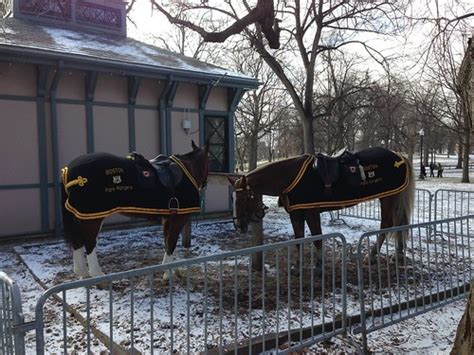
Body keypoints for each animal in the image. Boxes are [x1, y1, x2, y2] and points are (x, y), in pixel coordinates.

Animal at [60, 141, 208, 278]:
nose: (204, 185)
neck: (187, 169)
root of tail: (67, 170)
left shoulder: (168, 218)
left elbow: (167, 241)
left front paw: (169, 269)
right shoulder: (179, 218)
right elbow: (171, 243)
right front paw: (168, 273)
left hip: (83, 216)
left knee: (77, 240)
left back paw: (82, 272)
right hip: (93, 217)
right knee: (89, 242)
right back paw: (97, 274)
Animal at [230, 147, 414, 262]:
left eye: (243, 198)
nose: (238, 225)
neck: (291, 177)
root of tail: (399, 157)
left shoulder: (311, 212)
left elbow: (317, 239)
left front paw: (318, 266)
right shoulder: (296, 213)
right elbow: (298, 240)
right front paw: (298, 267)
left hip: (389, 197)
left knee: (388, 224)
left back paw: (375, 255)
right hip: (391, 196)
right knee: (398, 223)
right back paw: (397, 254)